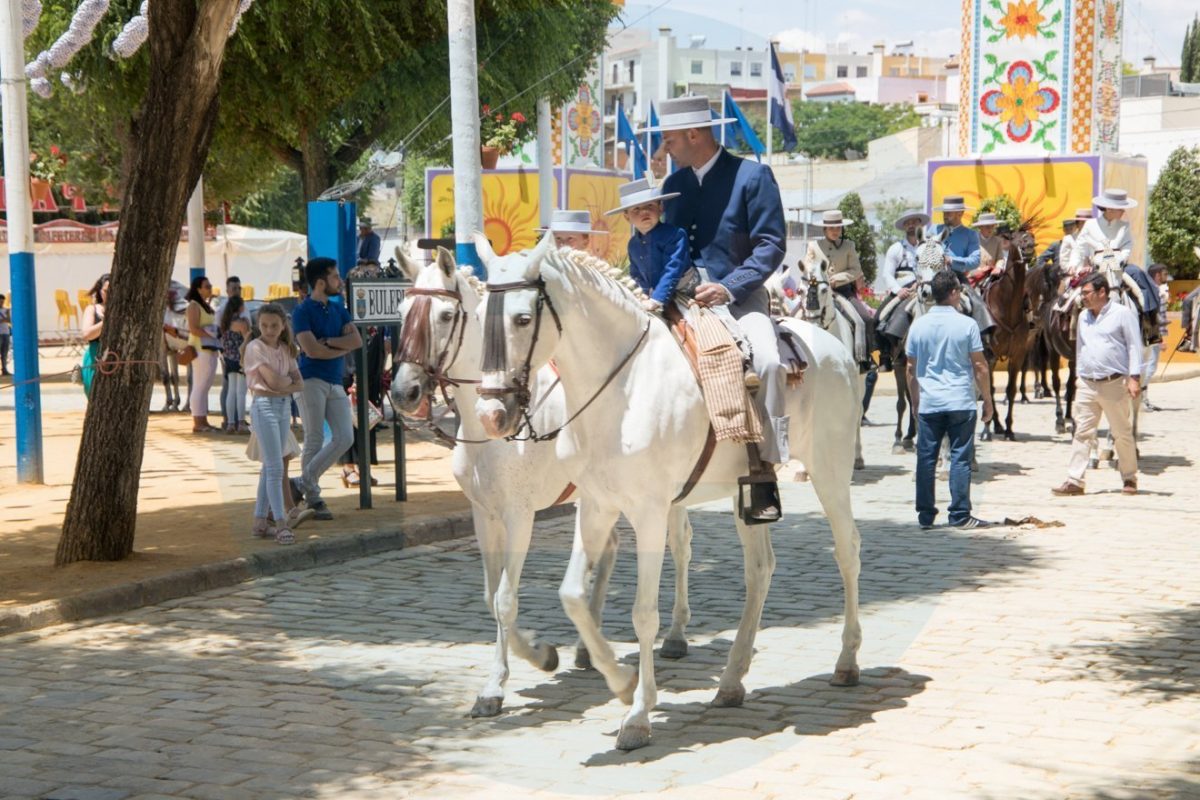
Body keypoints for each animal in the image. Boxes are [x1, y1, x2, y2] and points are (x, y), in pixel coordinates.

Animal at [393, 247, 696, 714]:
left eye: (445, 315)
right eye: (402, 311)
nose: (402, 392)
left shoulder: (520, 517)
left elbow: (505, 598)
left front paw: (509, 676)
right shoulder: (484, 516)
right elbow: (490, 596)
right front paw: (531, 657)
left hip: (665, 498)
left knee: (680, 546)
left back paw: (676, 635)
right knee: (609, 549)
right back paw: (589, 648)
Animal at [470, 235, 864, 753]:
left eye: (521, 318)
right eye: (479, 317)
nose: (492, 416)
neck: (622, 387)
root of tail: (832, 346)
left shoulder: (651, 513)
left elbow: (643, 614)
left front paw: (638, 714)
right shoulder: (596, 506)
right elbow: (573, 594)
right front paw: (618, 682)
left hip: (830, 471)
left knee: (847, 552)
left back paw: (847, 661)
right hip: (751, 494)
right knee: (760, 571)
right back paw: (732, 681)